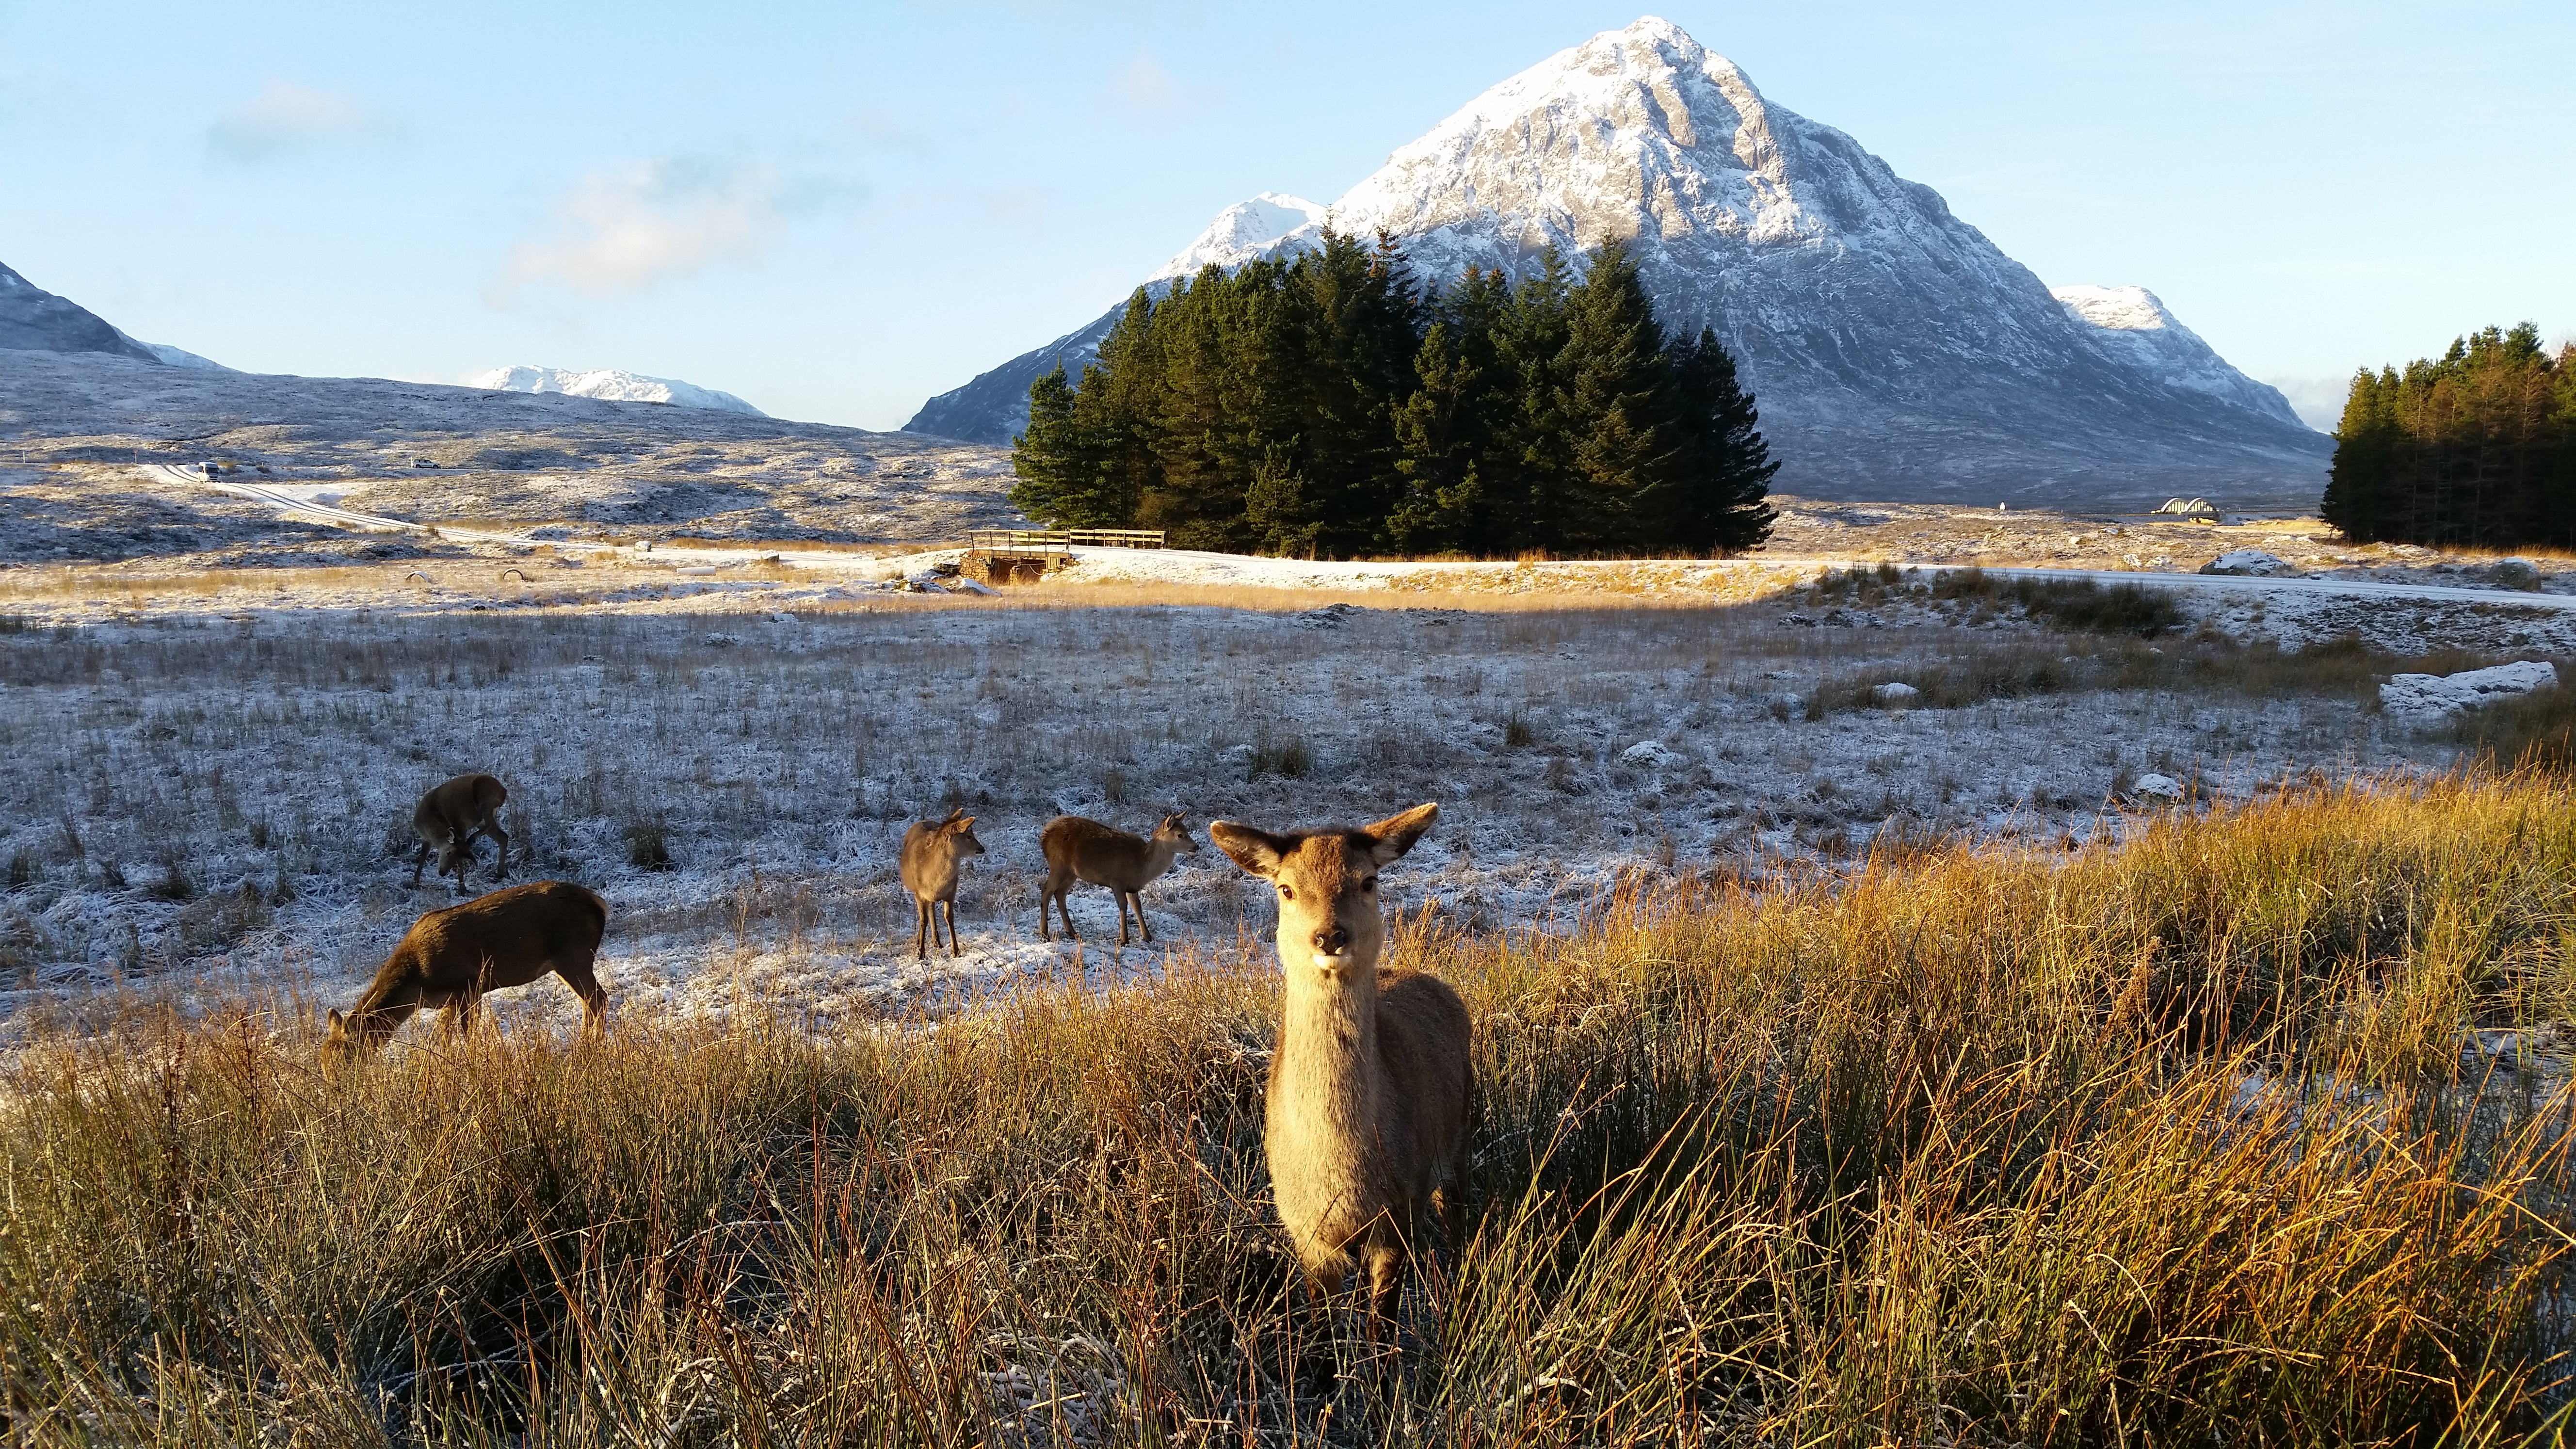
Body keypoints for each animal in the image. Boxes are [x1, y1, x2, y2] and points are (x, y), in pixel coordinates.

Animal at [324, 880, 608, 1062]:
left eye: (344, 1057)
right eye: (323, 1059)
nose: (337, 1088)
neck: (418, 985)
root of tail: (598, 903)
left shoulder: (470, 984)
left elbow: (468, 1034)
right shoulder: (450, 999)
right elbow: (444, 1034)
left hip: (573, 954)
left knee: (599, 999)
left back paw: (591, 1047)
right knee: (590, 1001)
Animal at [410, 772, 509, 895]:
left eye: (457, 857)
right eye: (448, 853)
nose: (442, 873)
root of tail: (504, 791)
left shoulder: (460, 825)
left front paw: (462, 889)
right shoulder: (426, 839)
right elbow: (422, 857)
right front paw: (415, 883)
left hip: (486, 799)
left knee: (491, 825)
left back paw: (472, 839)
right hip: (482, 818)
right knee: (503, 836)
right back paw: (499, 874)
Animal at [899, 808, 986, 960]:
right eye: (969, 836)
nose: (982, 849)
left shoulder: (952, 891)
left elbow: (949, 917)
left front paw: (956, 951)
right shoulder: (919, 893)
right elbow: (923, 921)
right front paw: (921, 953)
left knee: (932, 908)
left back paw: (937, 941)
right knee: (927, 912)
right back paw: (922, 941)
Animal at [1038, 813, 1198, 946]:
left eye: (1187, 831)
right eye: (1180, 835)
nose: (1196, 847)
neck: (1142, 866)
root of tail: (1044, 835)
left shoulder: (1132, 887)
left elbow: (1137, 907)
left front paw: (1147, 936)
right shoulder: (1116, 881)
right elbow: (1123, 906)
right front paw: (1124, 939)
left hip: (1072, 873)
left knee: (1060, 894)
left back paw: (1072, 932)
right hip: (1059, 865)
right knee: (1047, 891)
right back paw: (1044, 933)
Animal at [1209, 802, 1471, 1328]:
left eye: (1368, 881)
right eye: (1285, 888)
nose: (1329, 936)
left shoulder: (1400, 1209)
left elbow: (1382, 1330)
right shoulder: (1303, 1228)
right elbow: (1321, 1332)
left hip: (1459, 1139)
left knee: (1456, 1216)